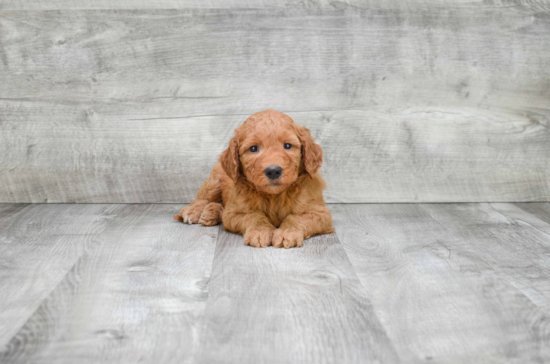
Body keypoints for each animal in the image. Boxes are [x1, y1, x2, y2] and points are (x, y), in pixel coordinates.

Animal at [175, 109, 334, 249]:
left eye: (288, 145)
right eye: (253, 148)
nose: (273, 171)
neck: (274, 196)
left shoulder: (320, 213)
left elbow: (296, 218)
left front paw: (287, 232)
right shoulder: (234, 213)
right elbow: (254, 216)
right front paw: (260, 232)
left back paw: (211, 212)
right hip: (214, 181)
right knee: (202, 198)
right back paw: (194, 211)